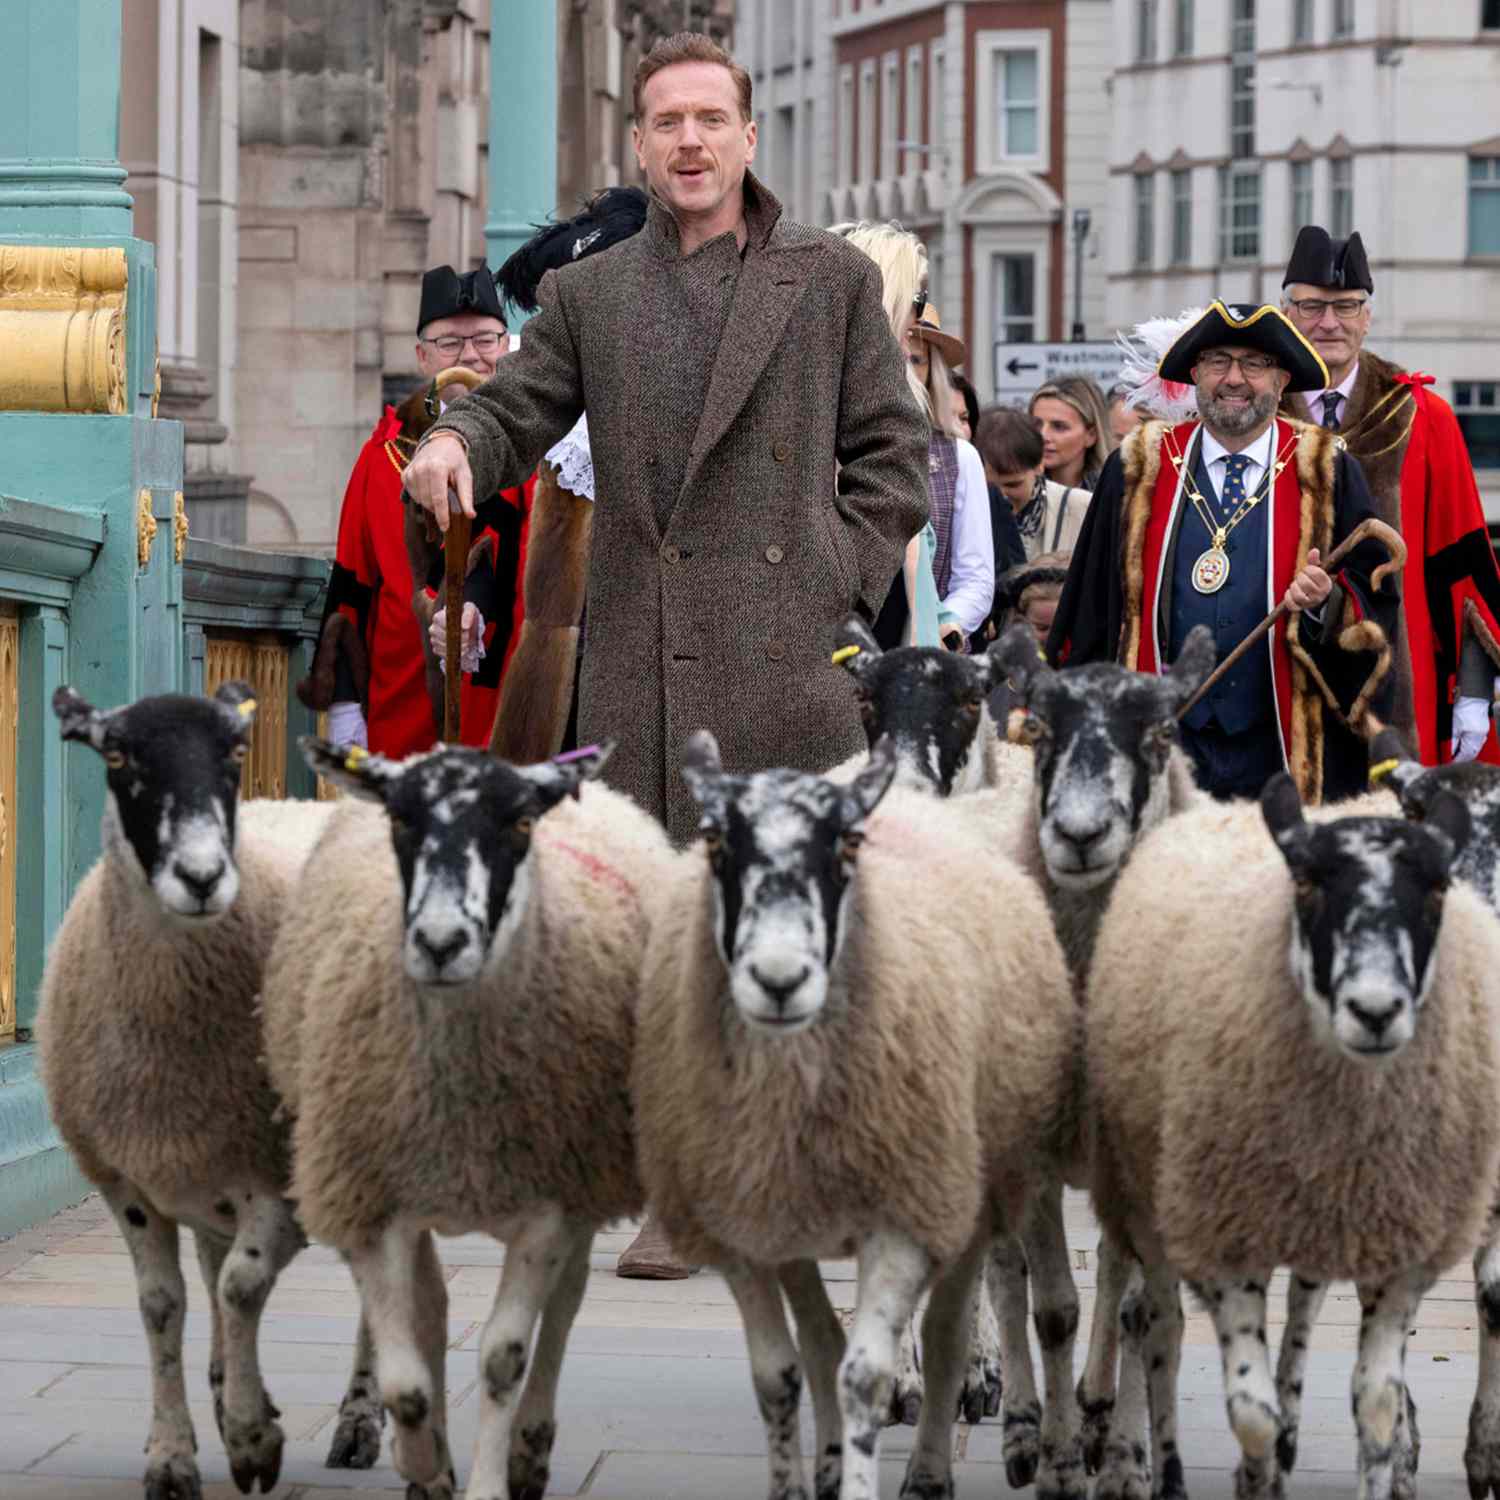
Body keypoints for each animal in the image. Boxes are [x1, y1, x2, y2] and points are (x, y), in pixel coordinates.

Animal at [36, 687, 375, 1500]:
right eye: (117, 753)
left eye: (233, 752)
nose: (199, 876)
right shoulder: (130, 1180)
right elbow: (165, 1306)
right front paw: (174, 1455)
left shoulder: (277, 1180)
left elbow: (243, 1288)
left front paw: (255, 1442)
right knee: (215, 1267)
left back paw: (359, 1420)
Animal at [265, 735, 675, 1500]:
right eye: (399, 819)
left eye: (520, 824)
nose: (441, 942)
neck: (462, 1100)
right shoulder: (373, 1201)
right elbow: (406, 1379)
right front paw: (423, 1464)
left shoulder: (547, 1207)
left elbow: (504, 1357)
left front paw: (484, 1480)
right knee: (431, 1309)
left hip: (584, 1177)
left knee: (567, 1302)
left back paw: (530, 1449)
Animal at [1086, 774, 1500, 1500]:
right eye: (1306, 885)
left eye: (1436, 890)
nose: (1375, 1011)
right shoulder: (1220, 1235)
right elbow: (1249, 1409)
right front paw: (1255, 1470)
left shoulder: (1402, 1235)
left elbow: (1378, 1398)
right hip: (1153, 1197)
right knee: (1156, 1327)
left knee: (1301, 1313)